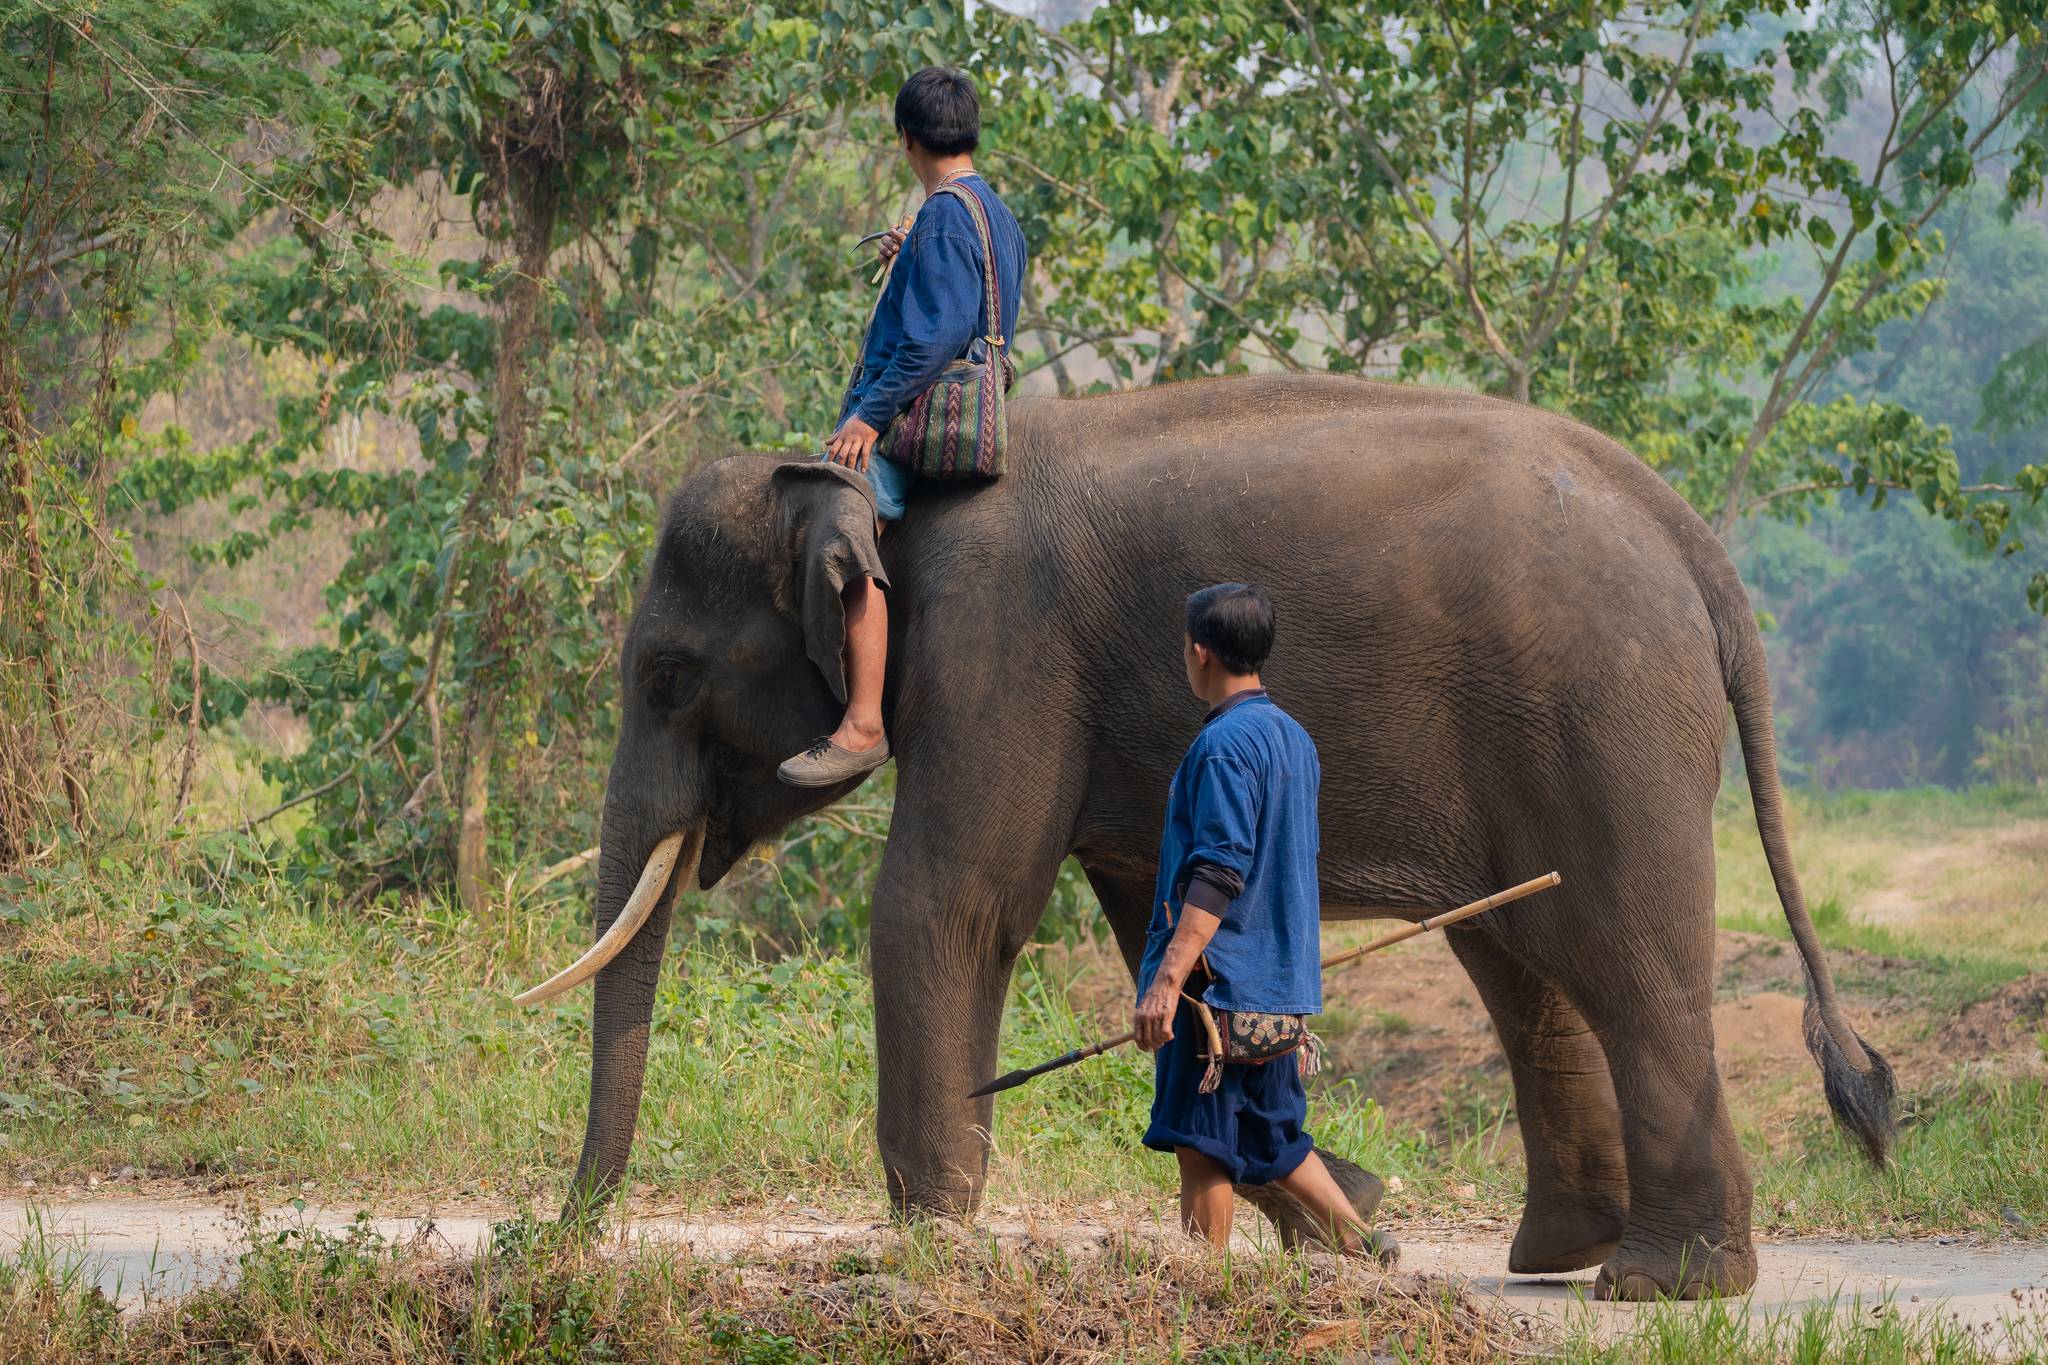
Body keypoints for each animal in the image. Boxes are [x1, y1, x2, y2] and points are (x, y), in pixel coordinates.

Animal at [522, 372, 1894, 1301]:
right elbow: (1162, 931)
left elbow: (949, 902)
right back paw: (1564, 1251)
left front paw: (927, 1235)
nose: (563, 1233)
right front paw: (1353, 1214)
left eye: (662, 676)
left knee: (1623, 964)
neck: (865, 486)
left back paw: (1666, 1283)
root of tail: (1694, 546)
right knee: (1524, 968)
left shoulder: (998, 650)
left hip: (1600, 720)